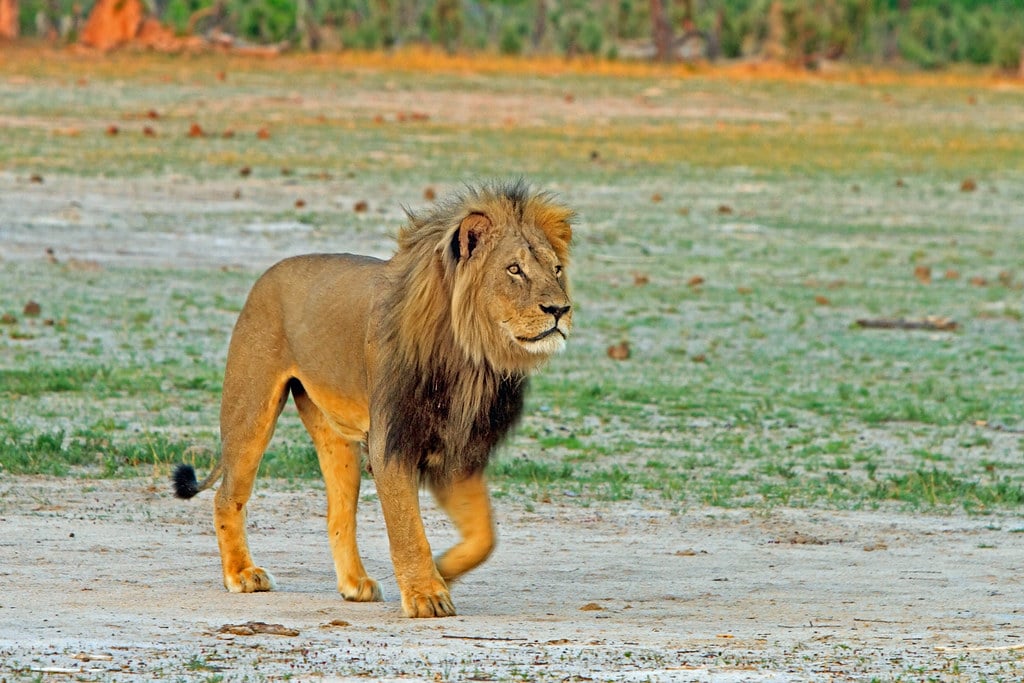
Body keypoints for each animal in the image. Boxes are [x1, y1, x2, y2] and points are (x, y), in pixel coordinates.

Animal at [172, 180, 573, 618]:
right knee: (228, 496)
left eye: (556, 269)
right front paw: (426, 595)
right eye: (514, 269)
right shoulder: (391, 442)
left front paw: (442, 572)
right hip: (251, 411)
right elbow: (407, 528)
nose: (560, 309)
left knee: (337, 513)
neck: (472, 358)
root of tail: (267, 275)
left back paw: (355, 584)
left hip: (335, 437)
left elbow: (484, 537)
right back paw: (242, 574)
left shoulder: (458, 452)